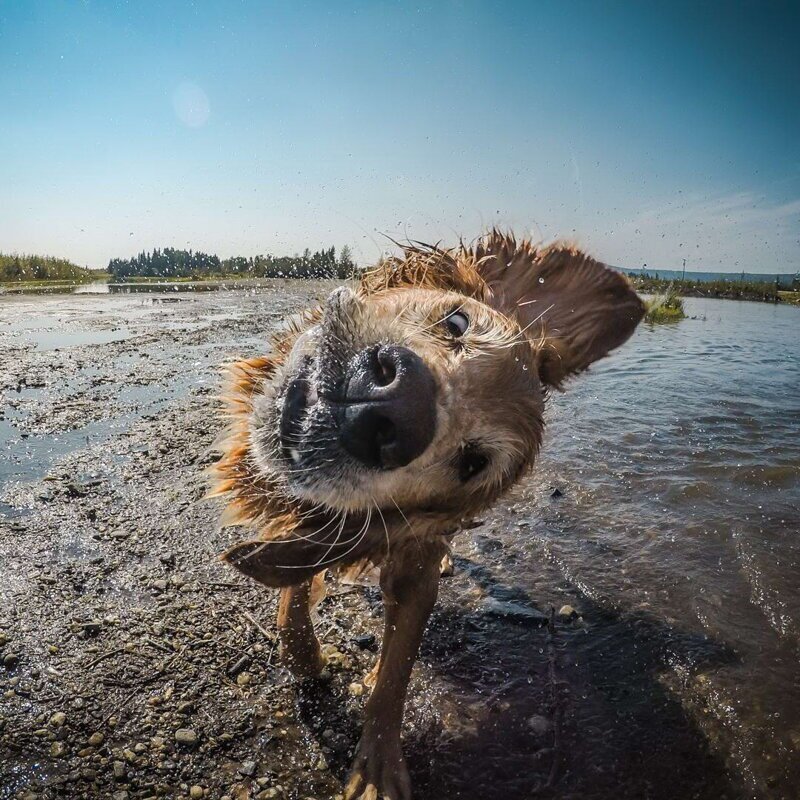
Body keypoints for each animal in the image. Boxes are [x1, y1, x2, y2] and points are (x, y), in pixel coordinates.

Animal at [211, 231, 644, 800]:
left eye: (472, 462)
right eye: (456, 323)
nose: (393, 405)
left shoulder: (411, 561)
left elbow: (396, 668)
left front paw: (376, 766)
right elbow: (296, 581)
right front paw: (302, 649)